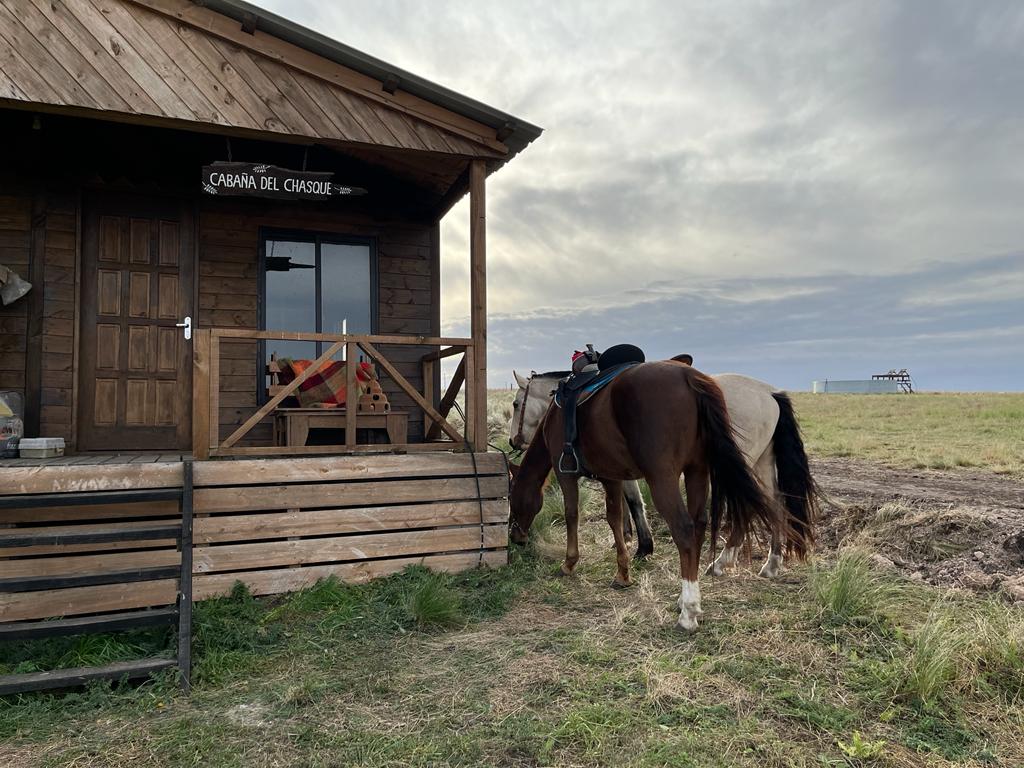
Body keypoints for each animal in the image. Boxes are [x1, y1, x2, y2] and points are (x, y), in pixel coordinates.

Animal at [512, 360, 790, 630]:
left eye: (516, 404)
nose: (517, 537)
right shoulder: (612, 476)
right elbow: (615, 515)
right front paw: (625, 566)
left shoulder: (566, 473)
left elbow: (575, 513)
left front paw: (571, 562)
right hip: (707, 470)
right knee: (720, 519)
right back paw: (761, 566)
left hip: (671, 477)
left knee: (688, 528)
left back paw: (692, 606)